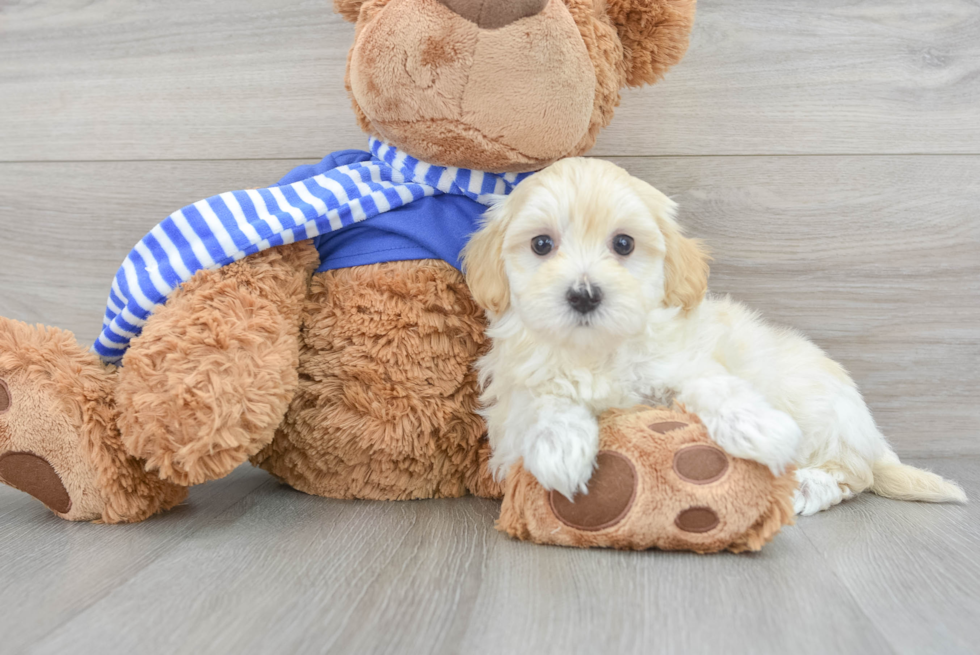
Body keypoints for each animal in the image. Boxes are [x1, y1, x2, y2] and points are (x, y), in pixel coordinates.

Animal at [464, 156, 968, 516]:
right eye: (541, 244)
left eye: (624, 244)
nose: (584, 295)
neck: (596, 351)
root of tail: (871, 437)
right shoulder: (513, 397)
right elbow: (543, 402)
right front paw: (561, 449)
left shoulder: (682, 363)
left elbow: (717, 388)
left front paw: (762, 431)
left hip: (820, 405)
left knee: (852, 473)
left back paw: (805, 485)